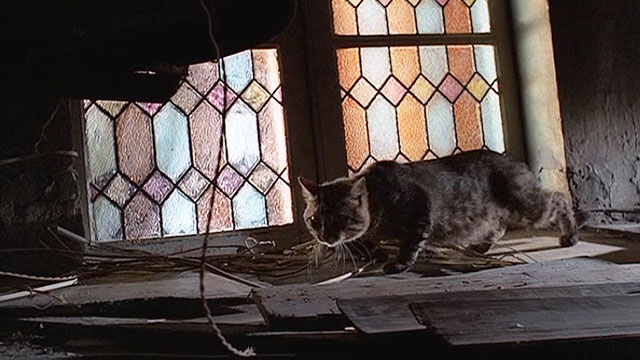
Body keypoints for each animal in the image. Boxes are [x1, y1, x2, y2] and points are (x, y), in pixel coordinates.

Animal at [298, 150, 588, 274]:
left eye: (339, 218)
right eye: (314, 220)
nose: (323, 237)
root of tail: (517, 162)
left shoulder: (418, 208)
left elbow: (410, 244)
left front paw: (398, 263)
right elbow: (364, 244)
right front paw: (374, 252)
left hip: (527, 205)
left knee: (559, 199)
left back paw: (570, 235)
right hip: (494, 212)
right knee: (497, 226)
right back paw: (478, 247)